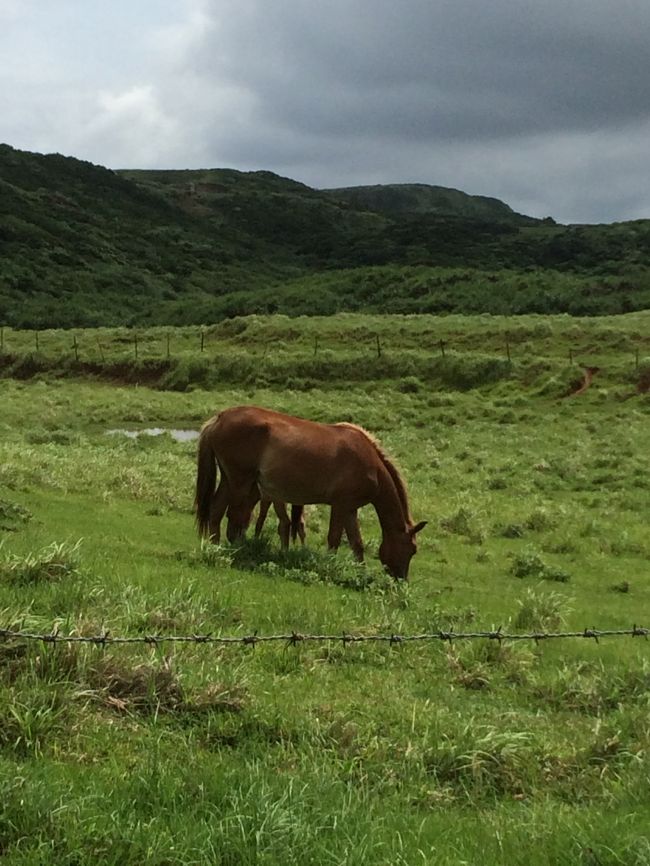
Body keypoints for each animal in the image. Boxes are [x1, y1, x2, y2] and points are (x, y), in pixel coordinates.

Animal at [195, 406, 426, 579]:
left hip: (229, 480)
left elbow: (356, 543)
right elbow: (334, 538)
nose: (401, 580)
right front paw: (331, 567)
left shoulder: (350, 509)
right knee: (234, 517)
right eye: (412, 549)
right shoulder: (341, 506)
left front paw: (360, 572)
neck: (370, 465)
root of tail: (219, 418)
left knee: (216, 511)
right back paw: (237, 551)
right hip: (240, 481)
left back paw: (215, 549)